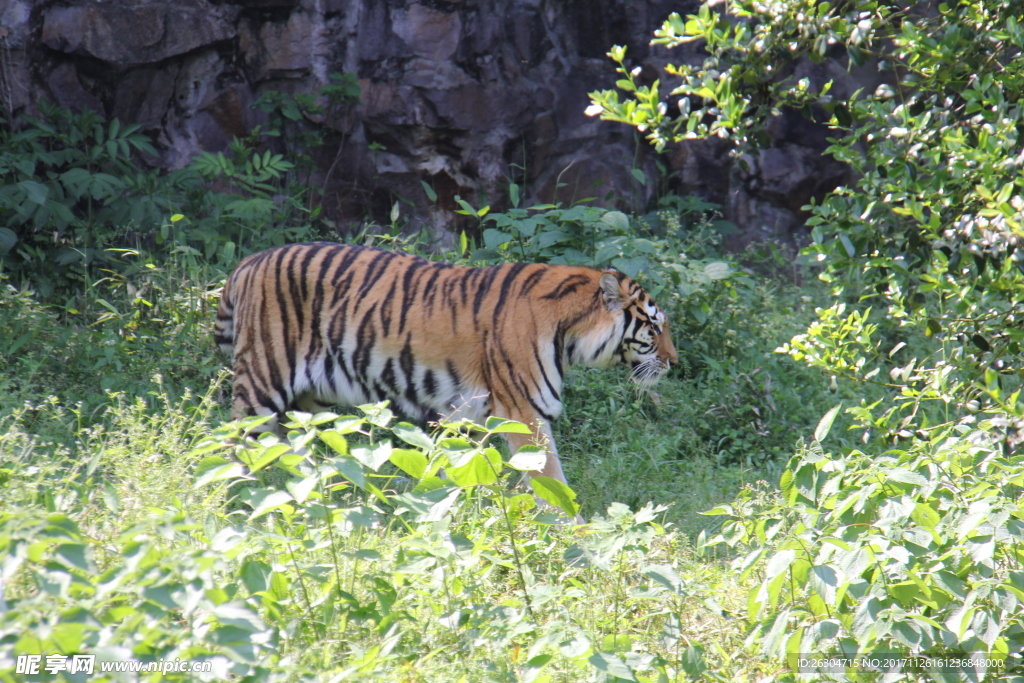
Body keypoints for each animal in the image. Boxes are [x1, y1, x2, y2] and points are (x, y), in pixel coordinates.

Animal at [214, 240, 679, 491]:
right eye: (654, 327)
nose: (674, 363)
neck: (570, 332)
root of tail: (250, 261)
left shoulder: (468, 413)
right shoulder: (525, 412)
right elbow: (550, 477)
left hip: (310, 400)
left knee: (298, 446)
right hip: (263, 380)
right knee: (233, 443)